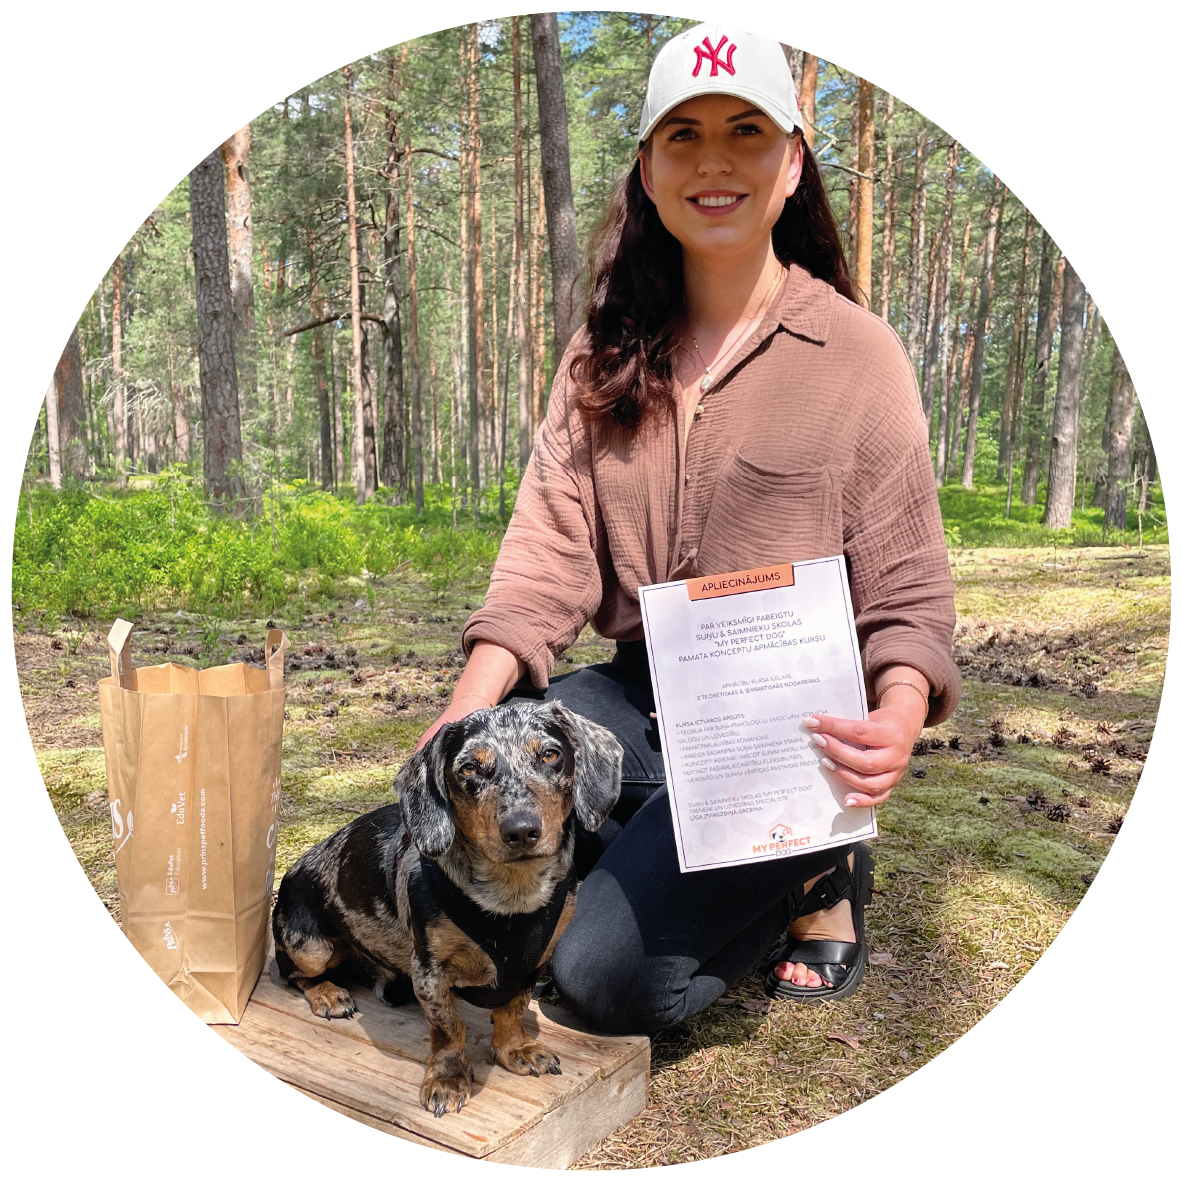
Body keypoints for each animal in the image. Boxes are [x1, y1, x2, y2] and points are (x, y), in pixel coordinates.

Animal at [272, 699, 623, 1117]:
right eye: (469, 767)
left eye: (551, 754)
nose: (521, 830)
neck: (511, 896)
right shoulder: (429, 971)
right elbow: (449, 1029)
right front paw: (447, 1079)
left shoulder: (534, 964)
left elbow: (513, 1008)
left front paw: (516, 1049)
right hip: (310, 948)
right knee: (292, 973)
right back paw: (327, 993)